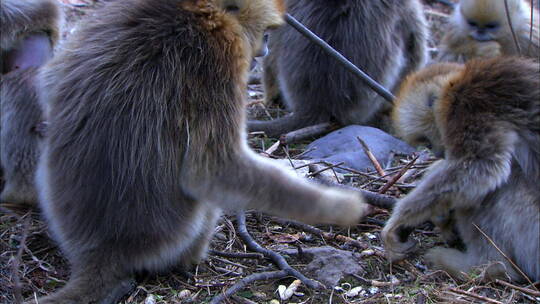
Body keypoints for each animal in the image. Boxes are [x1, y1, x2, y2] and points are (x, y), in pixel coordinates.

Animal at [33, 1, 372, 302]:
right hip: (179, 233)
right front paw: (339, 206)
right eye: (263, 33)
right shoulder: (220, 54)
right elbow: (212, 169)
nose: (263, 50)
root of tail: (103, 251)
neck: (193, 11)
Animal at [382, 58, 540, 284]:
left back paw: (487, 266)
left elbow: (480, 168)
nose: (438, 152)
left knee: (496, 186)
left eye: (427, 141)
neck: (455, 82)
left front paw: (398, 221)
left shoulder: (468, 104)